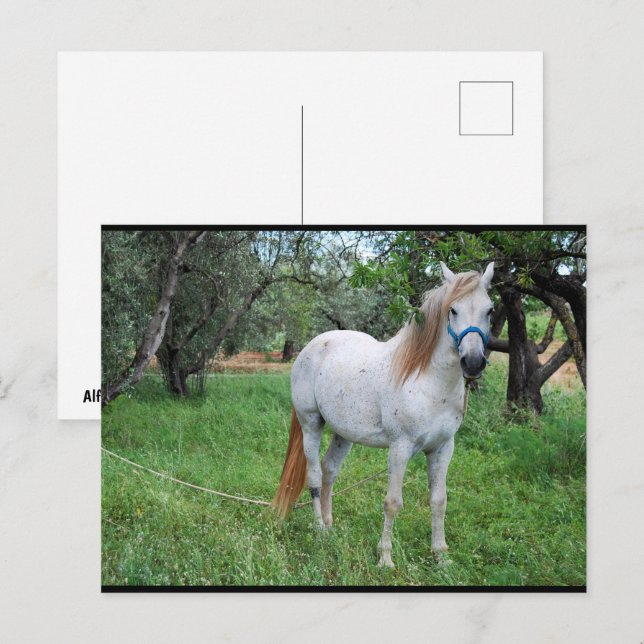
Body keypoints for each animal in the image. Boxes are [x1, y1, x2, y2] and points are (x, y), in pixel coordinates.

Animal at [272, 262, 494, 568]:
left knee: (330, 471)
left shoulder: (443, 448)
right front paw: (385, 559)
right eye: (453, 310)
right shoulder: (400, 448)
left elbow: (439, 500)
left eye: (490, 310)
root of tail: (311, 346)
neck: (427, 381)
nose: (472, 363)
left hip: (343, 434)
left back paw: (330, 527)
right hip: (311, 425)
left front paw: (440, 556)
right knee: (315, 476)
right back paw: (319, 531)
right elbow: (392, 503)